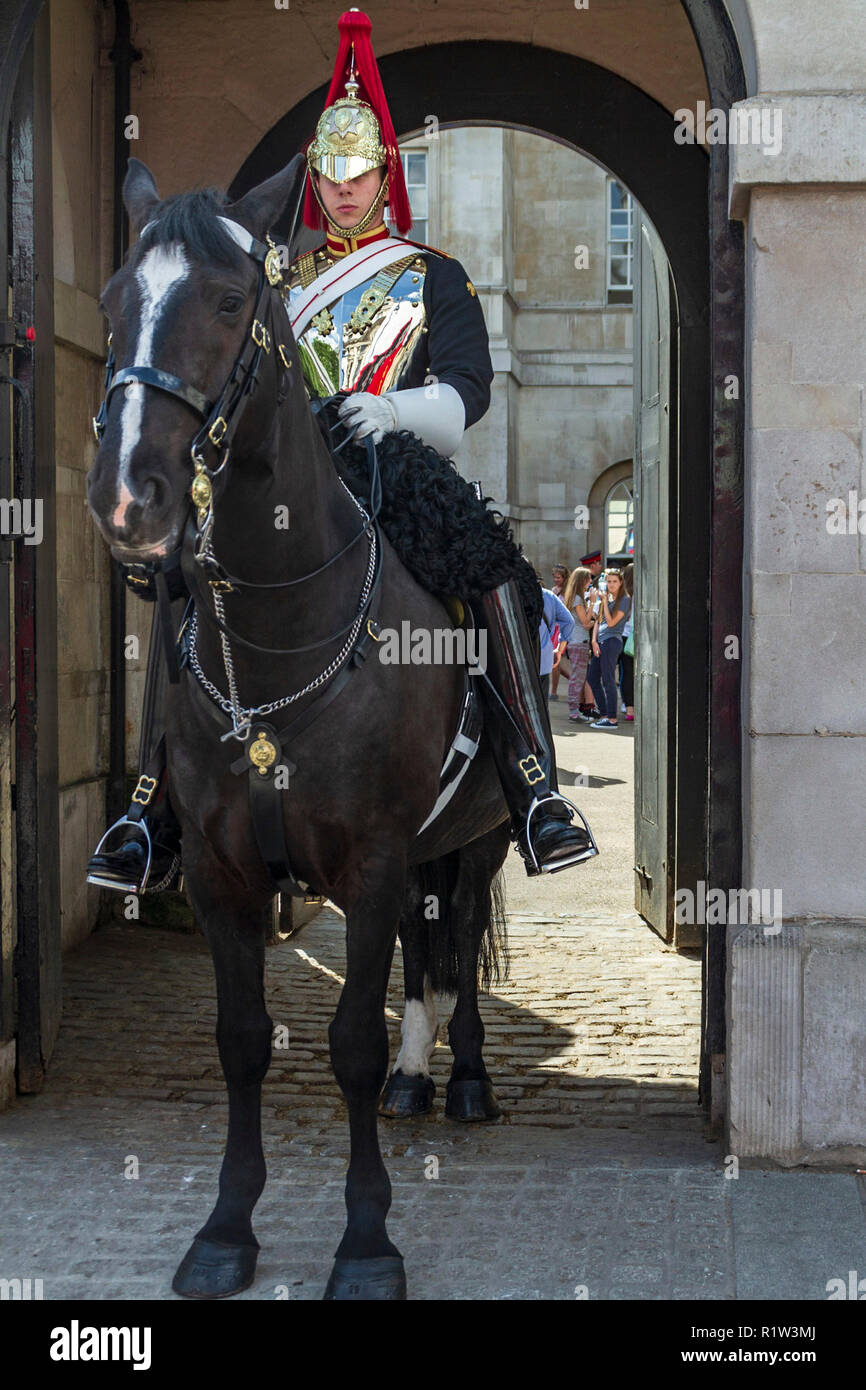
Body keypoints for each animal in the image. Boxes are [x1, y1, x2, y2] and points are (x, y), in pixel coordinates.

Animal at [88, 157, 528, 1295]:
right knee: (427, 946)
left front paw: (367, 1242)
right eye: (111, 301)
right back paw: (422, 1080)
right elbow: (243, 1038)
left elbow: (349, 1045)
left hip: (478, 836)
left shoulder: (369, 859)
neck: (283, 630)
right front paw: (224, 1230)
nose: (128, 497)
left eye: (229, 301)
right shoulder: (222, 870)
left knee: (461, 936)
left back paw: (464, 1078)